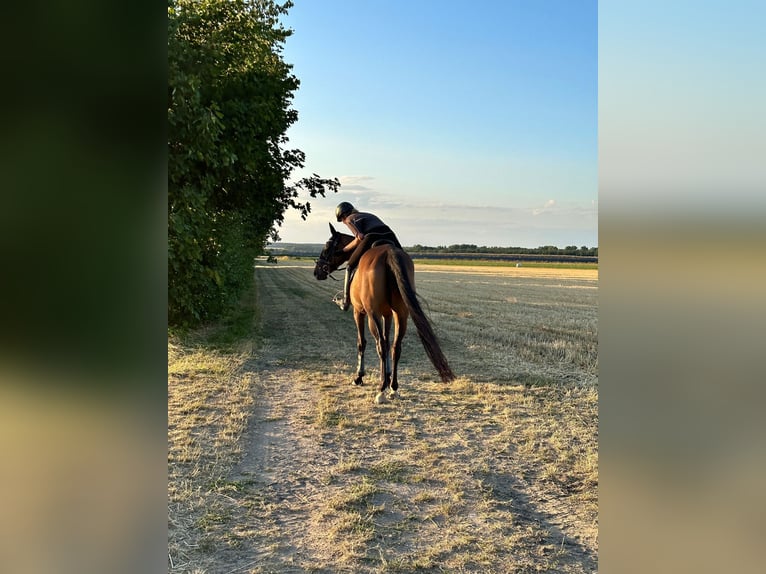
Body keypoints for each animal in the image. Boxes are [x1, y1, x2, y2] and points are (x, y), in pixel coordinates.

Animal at [314, 225, 456, 404]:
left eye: (326, 247)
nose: (316, 272)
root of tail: (389, 253)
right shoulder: (387, 315)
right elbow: (388, 343)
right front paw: (387, 376)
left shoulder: (359, 312)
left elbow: (363, 343)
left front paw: (359, 377)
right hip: (401, 314)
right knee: (396, 346)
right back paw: (393, 387)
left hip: (372, 314)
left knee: (380, 344)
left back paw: (381, 390)